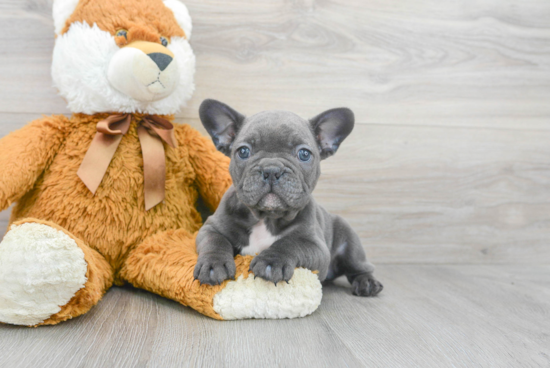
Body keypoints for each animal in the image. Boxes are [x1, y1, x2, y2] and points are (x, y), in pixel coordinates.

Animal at [194, 99, 384, 298]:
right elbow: (215, 241)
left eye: (304, 154)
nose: (271, 169)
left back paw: (367, 283)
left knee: (360, 267)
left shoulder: (316, 246)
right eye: (244, 151)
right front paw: (213, 264)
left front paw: (272, 262)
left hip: (350, 243)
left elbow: (290, 243)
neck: (267, 217)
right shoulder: (211, 227)